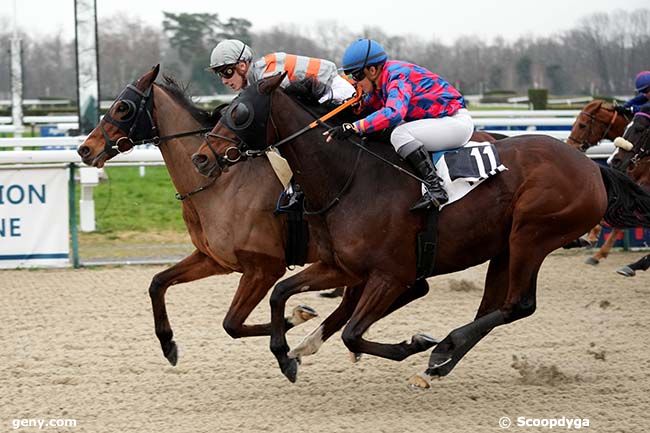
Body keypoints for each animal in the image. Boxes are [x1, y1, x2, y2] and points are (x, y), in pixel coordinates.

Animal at [76, 66, 326, 366]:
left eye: (123, 107)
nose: (85, 149)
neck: (220, 184)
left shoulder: (264, 268)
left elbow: (232, 324)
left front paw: (293, 327)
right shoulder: (215, 259)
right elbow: (157, 283)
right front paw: (167, 343)